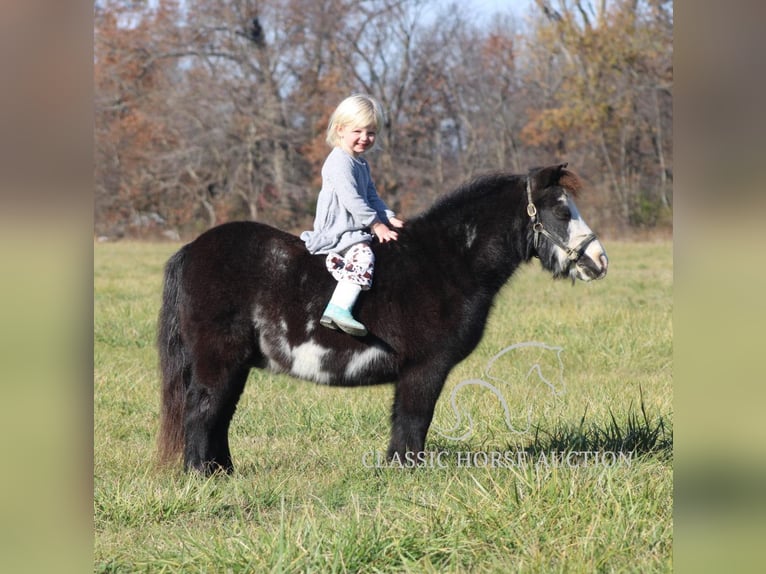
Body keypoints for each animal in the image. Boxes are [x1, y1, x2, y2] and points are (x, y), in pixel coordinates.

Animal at [158, 164, 612, 474]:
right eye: (561, 212)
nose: (599, 260)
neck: (448, 263)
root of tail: (192, 249)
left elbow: (404, 420)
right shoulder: (425, 368)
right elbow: (414, 419)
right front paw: (407, 470)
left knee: (219, 413)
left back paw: (223, 472)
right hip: (218, 360)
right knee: (202, 410)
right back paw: (201, 475)